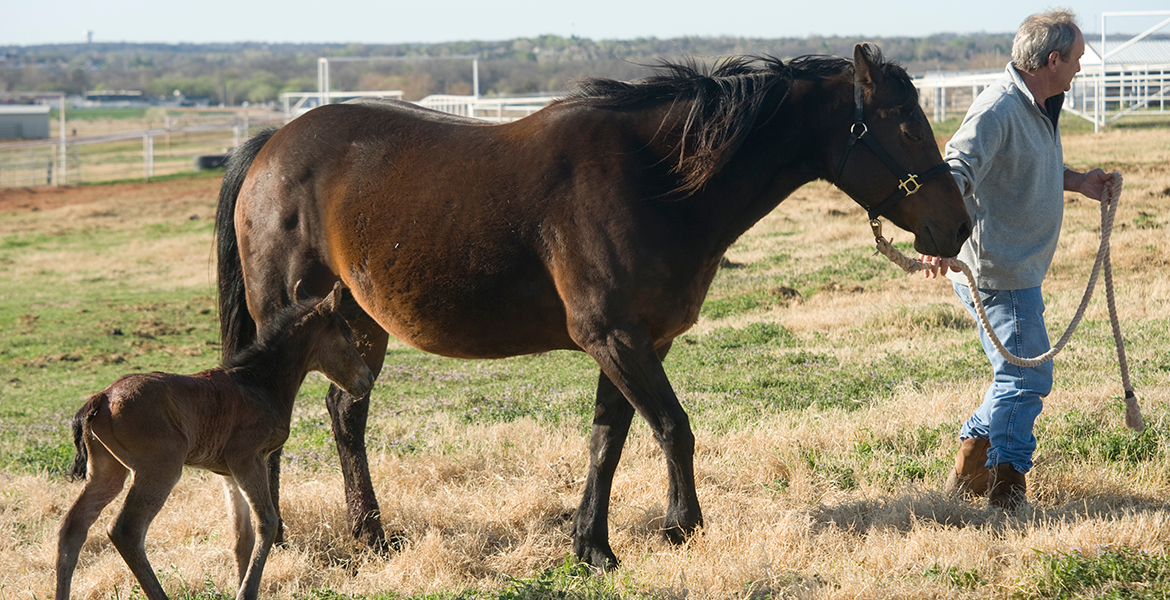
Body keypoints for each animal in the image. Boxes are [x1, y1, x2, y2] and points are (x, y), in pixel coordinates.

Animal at [55, 282, 374, 600]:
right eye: (347, 335)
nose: (367, 379)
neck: (259, 383)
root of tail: (102, 398)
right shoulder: (248, 459)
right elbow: (267, 523)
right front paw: (246, 592)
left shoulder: (228, 472)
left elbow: (241, 536)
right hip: (159, 468)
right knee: (125, 530)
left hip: (108, 470)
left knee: (72, 526)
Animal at [214, 43, 971, 569]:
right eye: (907, 127)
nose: (957, 227)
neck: (657, 180)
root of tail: (269, 146)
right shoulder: (615, 337)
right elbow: (672, 428)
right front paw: (681, 526)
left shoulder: (637, 342)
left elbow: (609, 440)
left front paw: (593, 547)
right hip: (297, 320)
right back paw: (280, 538)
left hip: (359, 325)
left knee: (347, 417)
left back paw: (370, 537)